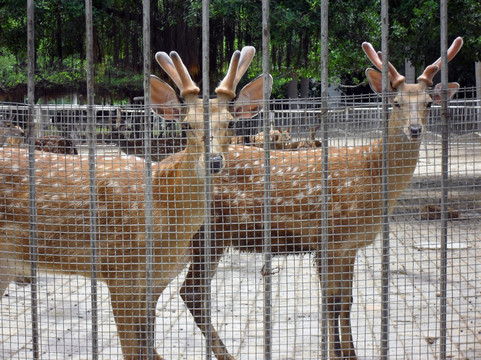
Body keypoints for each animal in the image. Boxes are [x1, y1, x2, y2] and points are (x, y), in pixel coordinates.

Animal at [0, 47, 270, 360]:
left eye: (230, 122)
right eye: (187, 124)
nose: (214, 161)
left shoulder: (155, 280)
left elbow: (148, 348)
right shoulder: (119, 270)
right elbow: (132, 351)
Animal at [180, 37, 462, 360]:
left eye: (429, 103)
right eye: (396, 102)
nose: (414, 129)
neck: (371, 177)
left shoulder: (350, 245)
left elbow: (346, 301)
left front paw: (350, 353)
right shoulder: (328, 237)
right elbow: (330, 301)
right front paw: (336, 353)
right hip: (207, 234)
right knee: (191, 292)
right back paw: (225, 354)